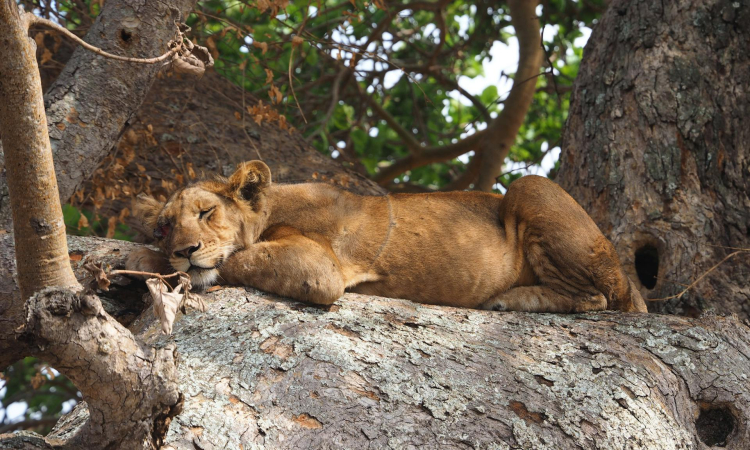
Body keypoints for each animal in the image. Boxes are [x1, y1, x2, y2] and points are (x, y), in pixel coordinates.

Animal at [127, 160, 647, 313]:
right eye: (165, 226)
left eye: (207, 212)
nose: (184, 250)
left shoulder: (322, 270)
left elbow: (240, 258)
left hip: (530, 186)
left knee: (601, 298)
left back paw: (510, 300)